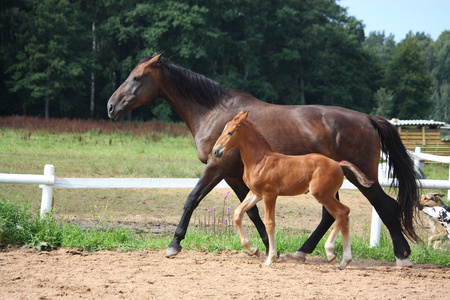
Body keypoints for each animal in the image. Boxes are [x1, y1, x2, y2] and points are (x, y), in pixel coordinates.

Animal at [107, 52, 420, 266]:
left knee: (385, 207)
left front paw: (174, 244)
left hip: (363, 178)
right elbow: (252, 213)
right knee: (331, 214)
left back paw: (402, 255)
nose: (110, 106)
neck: (213, 112)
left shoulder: (217, 168)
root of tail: (368, 118)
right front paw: (265, 249)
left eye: (136, 78)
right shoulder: (235, 176)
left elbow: (191, 200)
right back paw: (303, 251)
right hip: (329, 182)